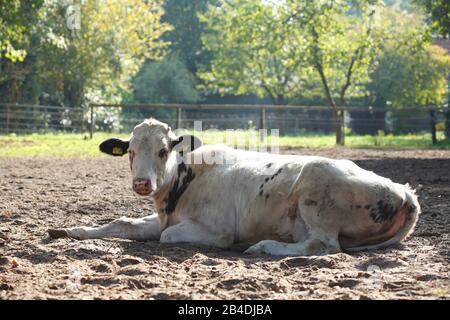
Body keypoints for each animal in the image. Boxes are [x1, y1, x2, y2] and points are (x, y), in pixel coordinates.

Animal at [49, 119, 422, 256]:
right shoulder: (163, 217)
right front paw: (69, 230)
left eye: (163, 150)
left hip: (317, 193)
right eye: (130, 151)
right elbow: (122, 223)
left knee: (324, 245)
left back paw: (263, 246)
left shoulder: (215, 229)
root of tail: (403, 190)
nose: (142, 182)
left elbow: (168, 236)